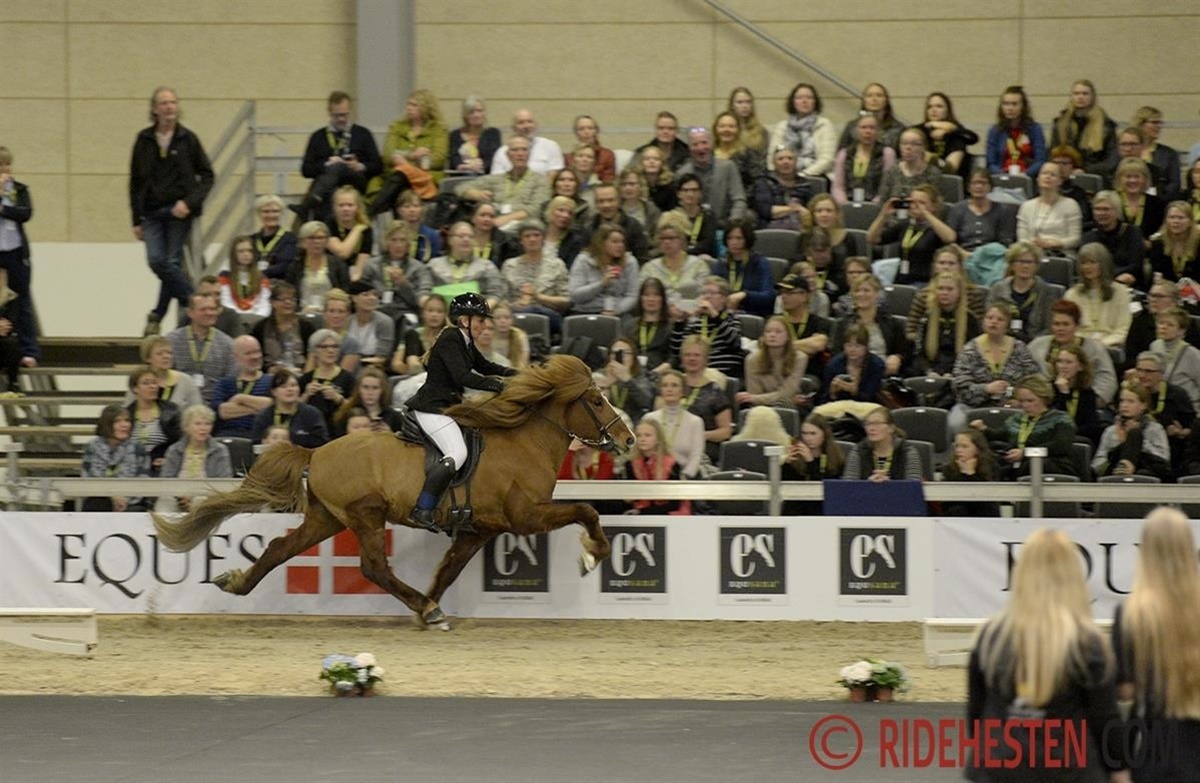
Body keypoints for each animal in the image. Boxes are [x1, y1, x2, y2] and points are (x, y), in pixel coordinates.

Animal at [152, 355, 634, 630]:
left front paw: (429, 605)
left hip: (326, 518)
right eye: (595, 400)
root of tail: (317, 452)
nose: (628, 441)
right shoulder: (526, 516)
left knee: (278, 548)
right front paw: (593, 556)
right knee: (373, 567)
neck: (523, 441)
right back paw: (423, 607)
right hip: (365, 514)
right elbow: (587, 510)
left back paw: (236, 583)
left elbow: (449, 571)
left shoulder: (480, 529)